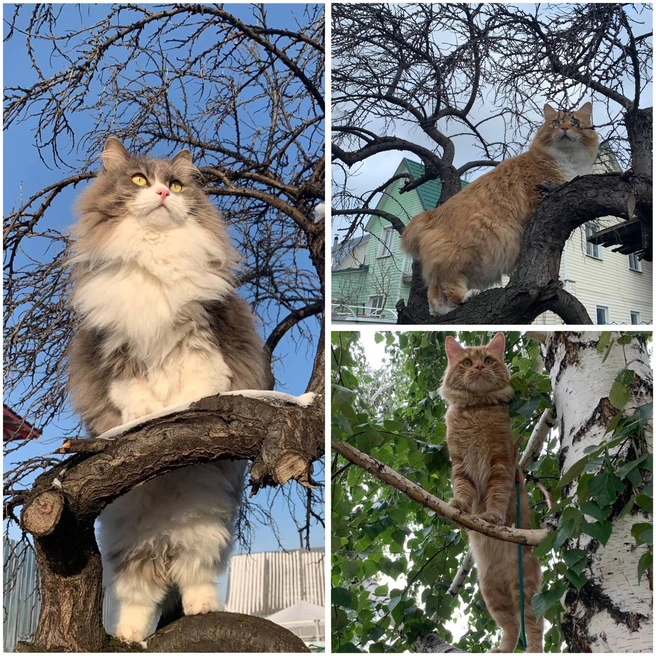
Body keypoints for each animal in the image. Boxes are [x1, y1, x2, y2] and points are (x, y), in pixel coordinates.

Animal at [68, 136, 268, 644]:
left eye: (176, 185)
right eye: (139, 180)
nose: (160, 193)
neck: (156, 258)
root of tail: (164, 541)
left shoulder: (202, 338)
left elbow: (197, 381)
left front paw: (184, 409)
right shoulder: (115, 350)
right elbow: (134, 393)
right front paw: (147, 416)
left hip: (207, 531)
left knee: (197, 578)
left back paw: (201, 609)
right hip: (128, 547)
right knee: (139, 597)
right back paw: (128, 635)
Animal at [400, 102, 600, 316]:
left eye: (575, 122)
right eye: (556, 122)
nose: (564, 128)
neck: (567, 160)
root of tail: (430, 216)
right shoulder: (539, 197)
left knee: (434, 292)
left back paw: (442, 310)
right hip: (465, 250)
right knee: (448, 283)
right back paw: (465, 297)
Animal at [440, 336, 544, 652]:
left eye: (487, 360)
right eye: (466, 362)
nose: (476, 367)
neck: (477, 410)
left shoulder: (500, 465)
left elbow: (497, 497)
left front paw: (493, 518)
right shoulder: (460, 467)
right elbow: (462, 491)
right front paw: (459, 505)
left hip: (525, 590)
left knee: (534, 626)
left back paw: (533, 650)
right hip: (491, 594)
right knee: (511, 628)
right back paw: (501, 649)